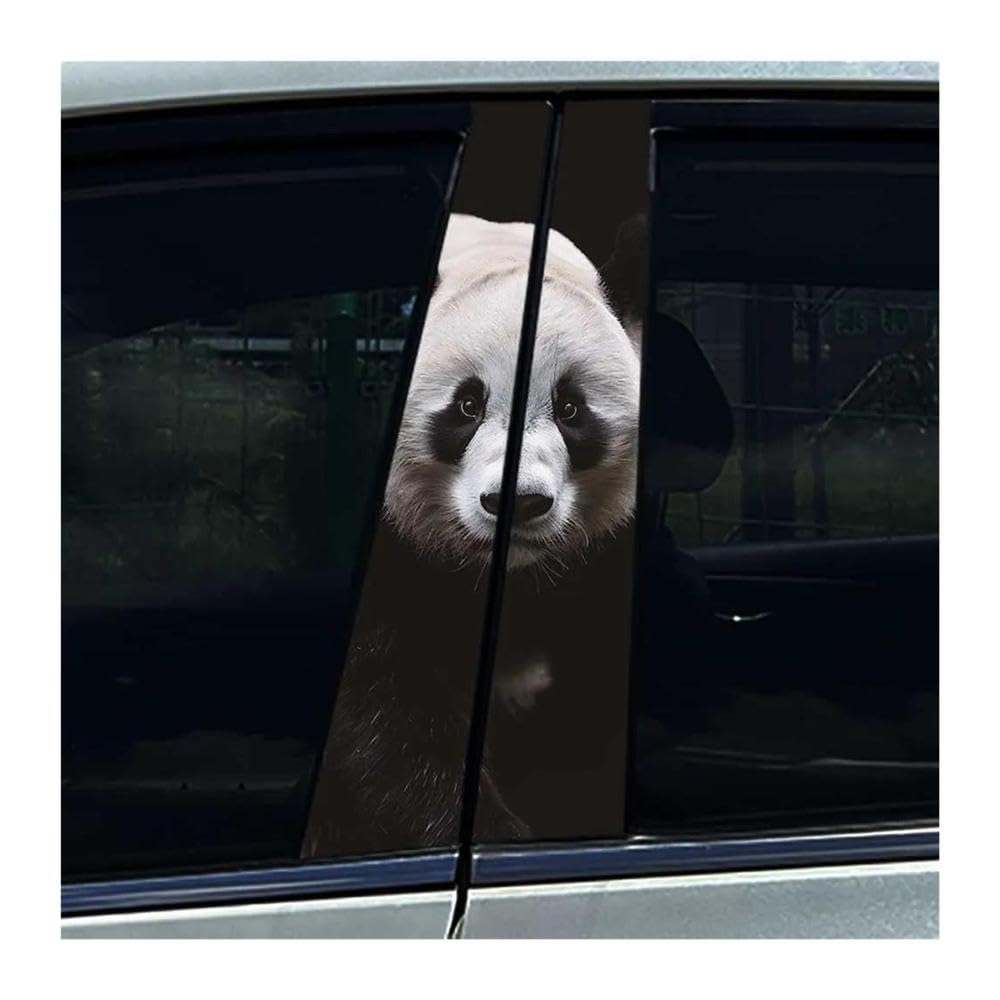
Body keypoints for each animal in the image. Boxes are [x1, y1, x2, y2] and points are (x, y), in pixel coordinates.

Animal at [302, 214, 641, 859]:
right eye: (467, 404)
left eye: (570, 408)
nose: (519, 502)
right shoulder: (392, 550)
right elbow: (384, 717)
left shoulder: (607, 559)